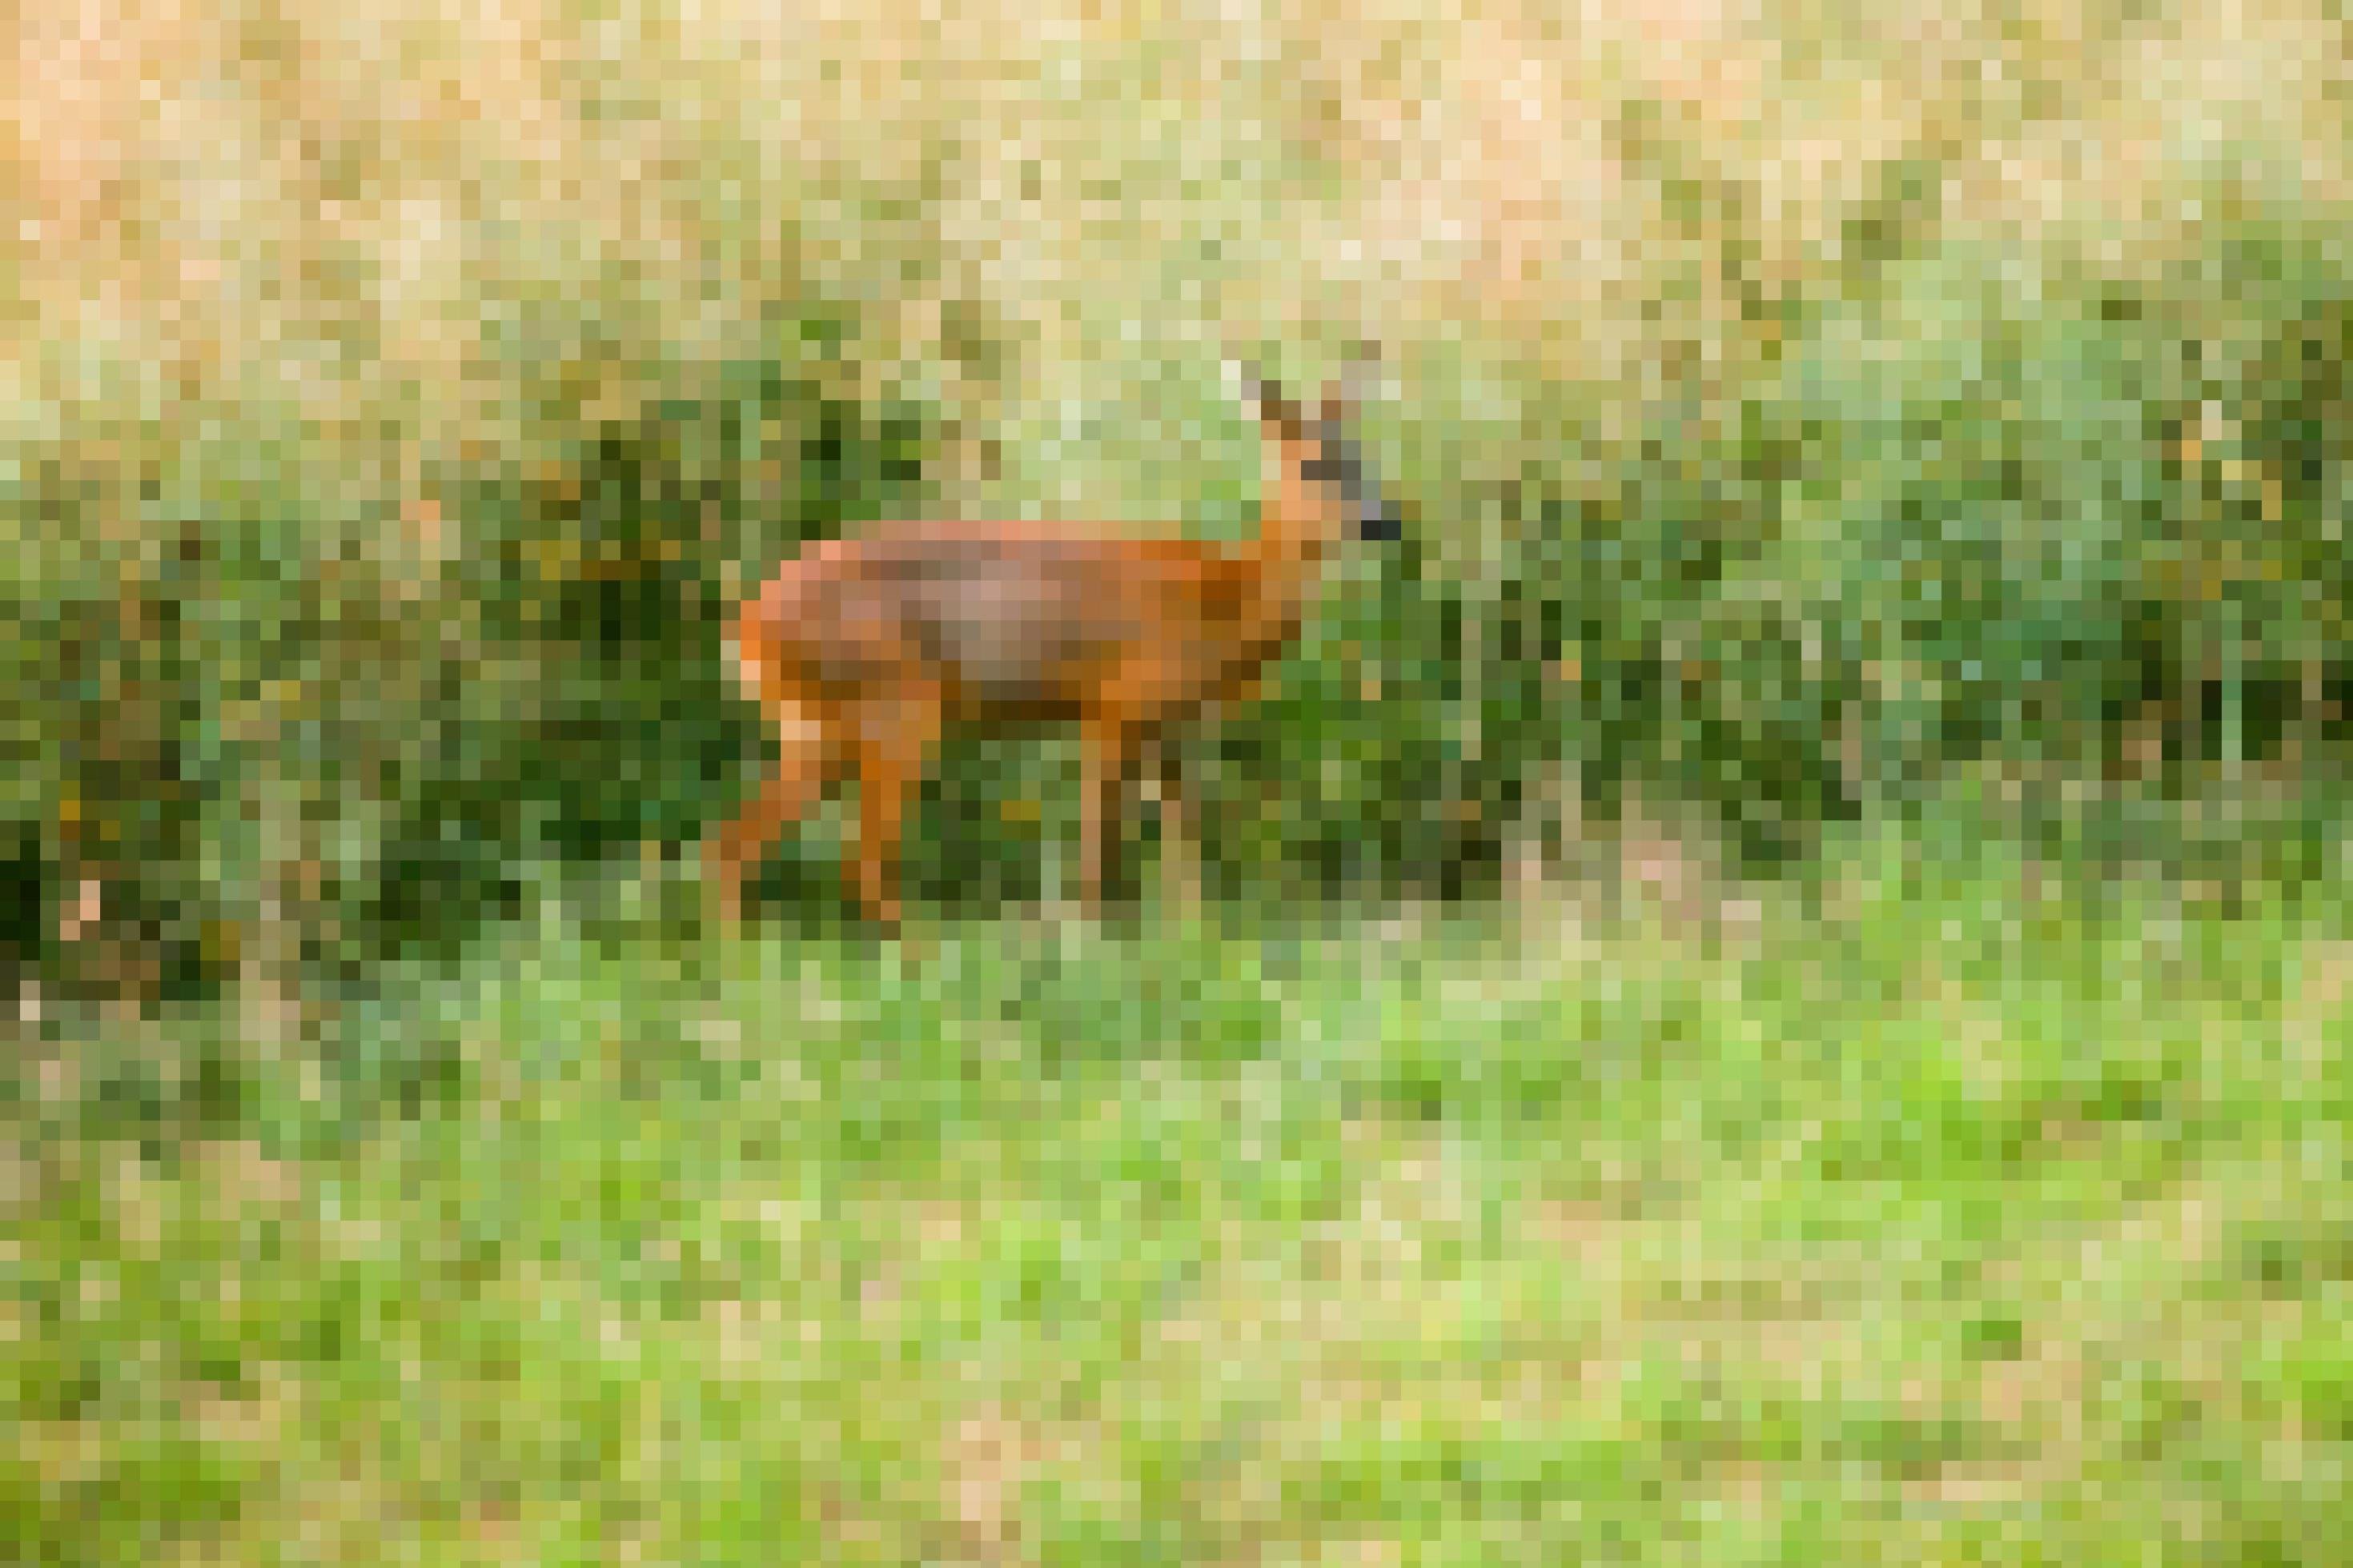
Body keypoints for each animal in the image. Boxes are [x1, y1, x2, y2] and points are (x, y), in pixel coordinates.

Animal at [696, 359, 1392, 926]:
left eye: (1366, 463)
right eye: (1313, 466)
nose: (1381, 523)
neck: (1221, 601)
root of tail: (746, 633)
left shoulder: (1169, 730)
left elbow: (1183, 849)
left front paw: (1194, 937)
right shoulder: (1113, 706)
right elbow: (1098, 850)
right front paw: (1090, 943)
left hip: (818, 728)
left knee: (729, 845)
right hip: (898, 707)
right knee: (855, 859)